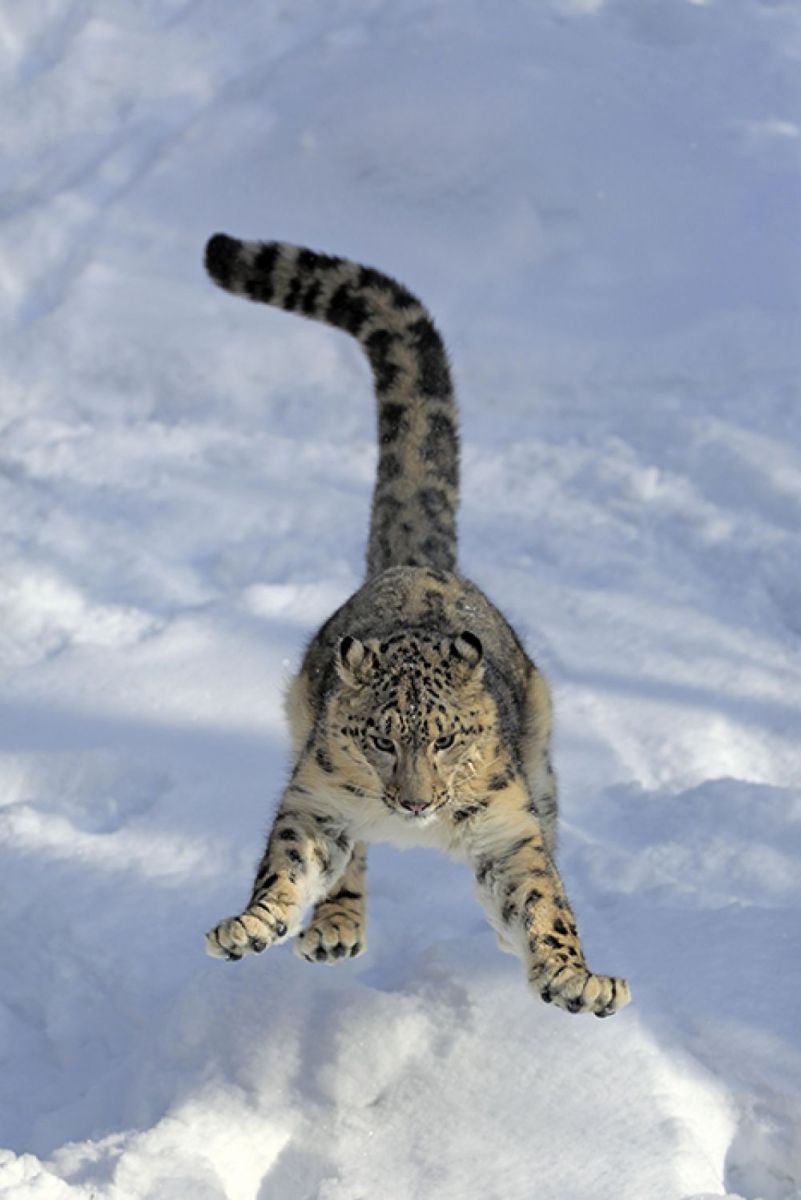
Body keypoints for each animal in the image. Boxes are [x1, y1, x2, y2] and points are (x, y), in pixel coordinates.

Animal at [203, 233, 630, 1018]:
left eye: (448, 739)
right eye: (379, 739)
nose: (416, 802)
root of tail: (415, 564)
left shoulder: (509, 827)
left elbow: (542, 899)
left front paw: (571, 977)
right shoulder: (314, 802)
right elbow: (287, 864)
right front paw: (252, 925)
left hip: (542, 768)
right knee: (349, 861)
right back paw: (334, 925)